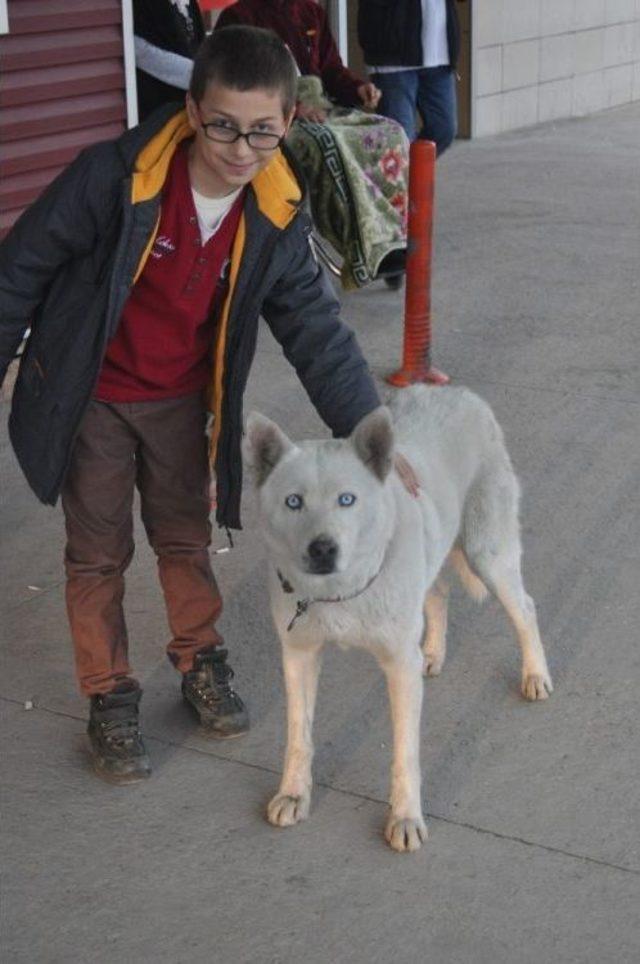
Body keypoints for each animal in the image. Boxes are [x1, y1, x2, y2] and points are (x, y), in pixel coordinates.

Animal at [242, 384, 552, 852]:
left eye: (346, 500)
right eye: (293, 502)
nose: (322, 549)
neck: (340, 593)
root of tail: (457, 391)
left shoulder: (398, 667)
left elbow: (404, 753)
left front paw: (405, 818)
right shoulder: (299, 655)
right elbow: (299, 734)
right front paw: (294, 793)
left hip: (487, 554)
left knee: (526, 608)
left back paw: (535, 674)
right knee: (438, 593)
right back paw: (433, 653)